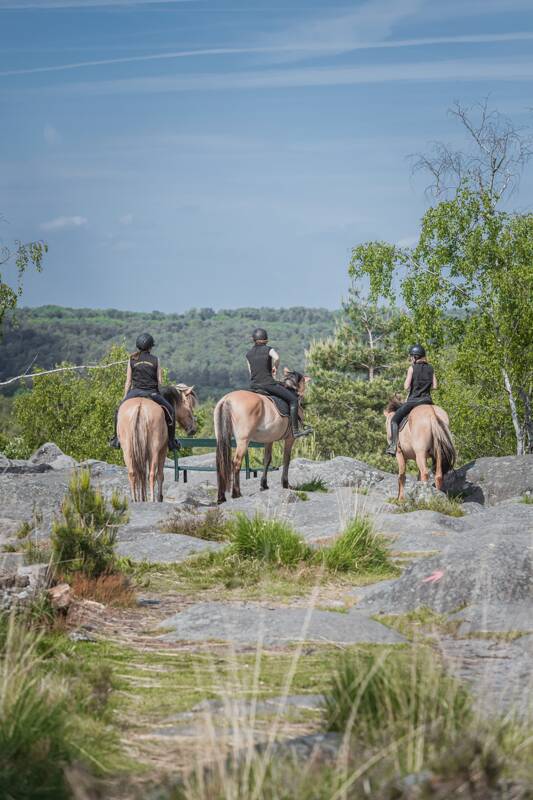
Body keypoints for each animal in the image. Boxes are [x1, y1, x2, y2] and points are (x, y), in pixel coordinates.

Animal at [214, 370, 310, 506]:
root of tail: (227, 399)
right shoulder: (290, 439)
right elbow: (286, 459)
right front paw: (285, 484)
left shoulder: (268, 440)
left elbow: (267, 460)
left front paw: (264, 485)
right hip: (243, 441)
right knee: (236, 463)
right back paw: (236, 493)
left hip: (221, 438)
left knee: (221, 462)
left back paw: (221, 497)